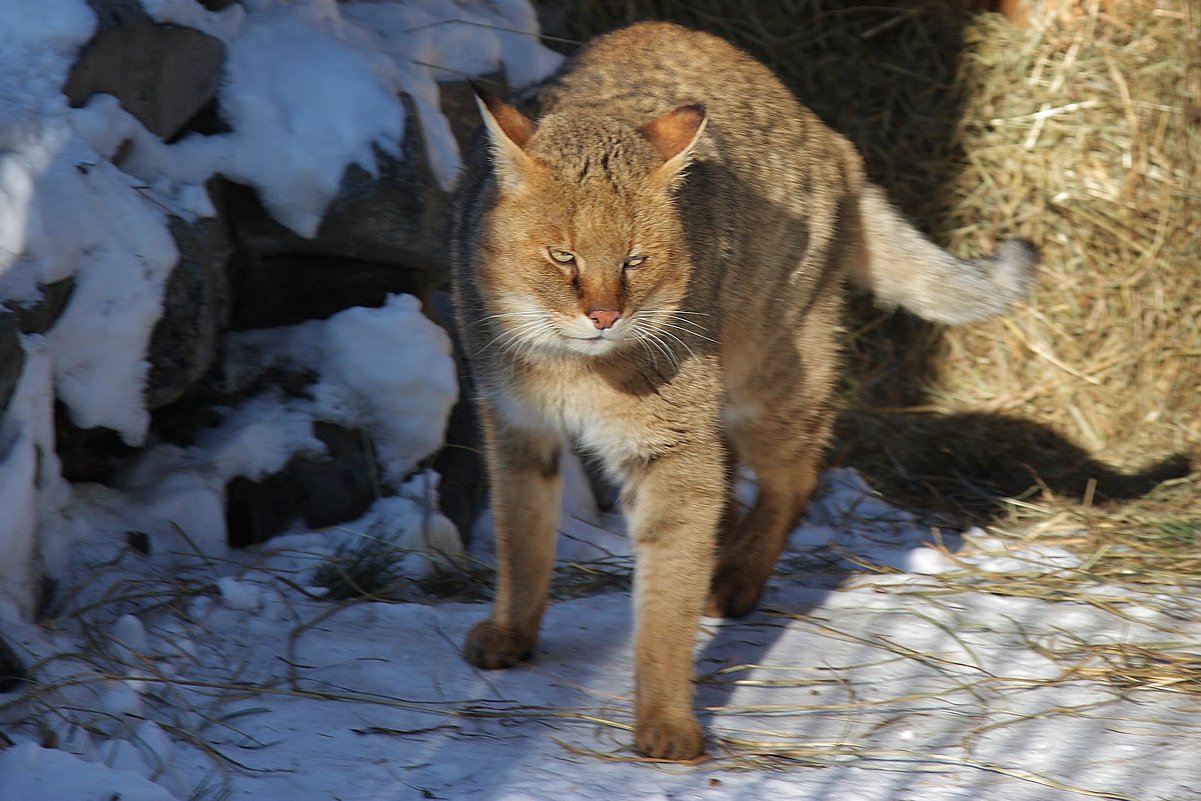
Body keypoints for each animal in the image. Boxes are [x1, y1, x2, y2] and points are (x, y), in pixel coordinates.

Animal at [449, 18, 1032, 758]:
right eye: (562, 256)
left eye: (636, 260)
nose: (603, 315)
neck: (569, 370)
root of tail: (833, 140)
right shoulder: (516, 426)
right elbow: (522, 540)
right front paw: (513, 633)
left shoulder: (672, 455)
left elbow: (663, 603)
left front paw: (666, 719)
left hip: (771, 386)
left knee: (797, 477)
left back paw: (736, 577)